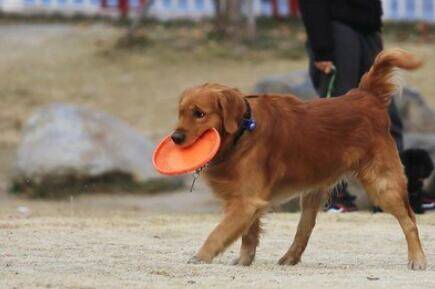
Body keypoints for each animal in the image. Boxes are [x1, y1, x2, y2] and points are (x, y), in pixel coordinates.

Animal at [172, 48, 428, 268]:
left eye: (199, 114)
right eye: (181, 113)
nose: (175, 137)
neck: (243, 130)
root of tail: (365, 95)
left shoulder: (247, 201)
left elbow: (219, 232)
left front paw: (201, 256)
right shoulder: (249, 200)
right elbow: (248, 235)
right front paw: (245, 260)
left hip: (383, 184)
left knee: (410, 221)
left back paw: (417, 259)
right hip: (314, 191)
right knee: (305, 228)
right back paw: (289, 257)